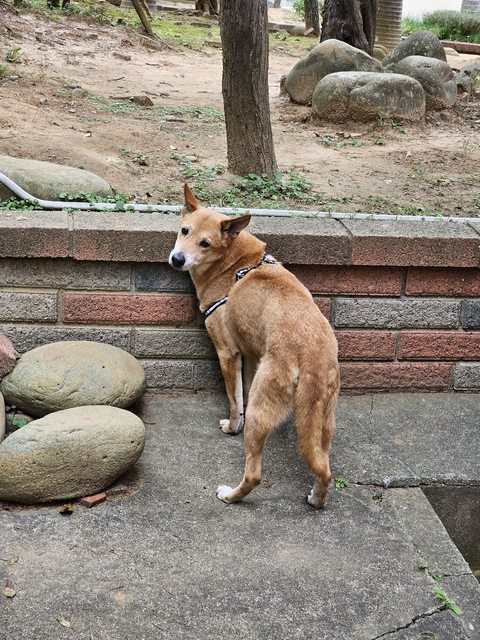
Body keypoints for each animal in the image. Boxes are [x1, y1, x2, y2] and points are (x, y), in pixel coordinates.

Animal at [169, 184, 340, 508]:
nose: (177, 259)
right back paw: (316, 498)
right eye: (184, 230)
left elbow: (235, 399)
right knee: (324, 468)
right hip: (323, 421)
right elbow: (242, 392)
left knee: (255, 474)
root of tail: (312, 355)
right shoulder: (248, 355)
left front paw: (232, 426)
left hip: (263, 413)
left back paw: (230, 495)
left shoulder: (227, 353)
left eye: (205, 243)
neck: (234, 264)